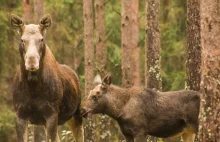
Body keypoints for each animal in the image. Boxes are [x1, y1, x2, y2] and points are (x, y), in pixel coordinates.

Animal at [9, 14, 83, 142]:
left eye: (41, 39)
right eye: (22, 39)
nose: (32, 61)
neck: (32, 86)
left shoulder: (51, 114)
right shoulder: (20, 114)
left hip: (76, 114)